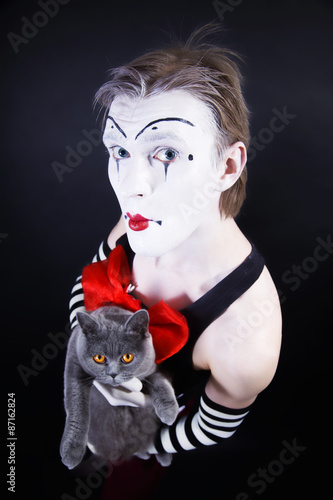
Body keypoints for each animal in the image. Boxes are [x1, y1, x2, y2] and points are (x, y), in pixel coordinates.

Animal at [59, 304, 179, 468]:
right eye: (99, 358)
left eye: (127, 357)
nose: (113, 374)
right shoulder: (74, 365)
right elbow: (77, 407)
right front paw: (71, 451)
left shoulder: (152, 368)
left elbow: (160, 382)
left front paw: (169, 412)